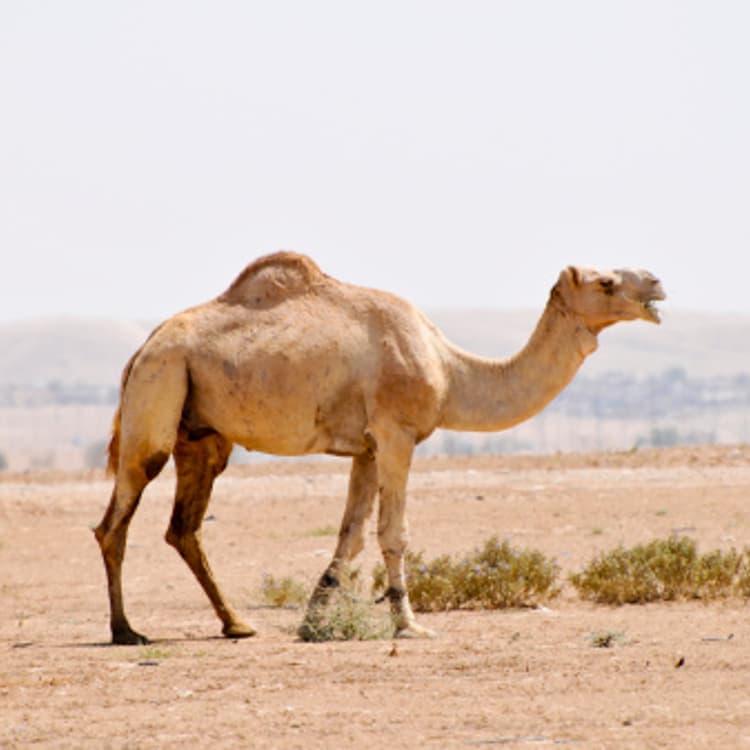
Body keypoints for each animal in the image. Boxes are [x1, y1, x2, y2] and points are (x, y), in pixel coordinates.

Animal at [94, 251, 665, 644]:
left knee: (183, 527)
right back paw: (127, 631)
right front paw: (408, 625)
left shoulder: (365, 448)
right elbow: (394, 533)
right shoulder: (396, 435)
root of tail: (142, 348)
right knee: (115, 522)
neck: (451, 371)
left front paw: (313, 620)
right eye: (606, 281)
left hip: (202, 434)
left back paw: (236, 624)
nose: (657, 280)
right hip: (159, 391)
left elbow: (350, 537)